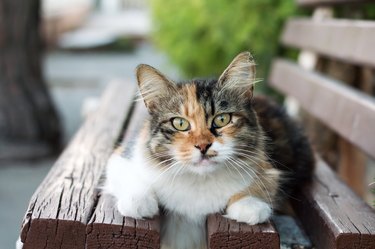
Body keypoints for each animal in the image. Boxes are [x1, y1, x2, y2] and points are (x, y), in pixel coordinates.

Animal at [104, 51, 316, 248]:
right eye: (180, 123)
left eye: (222, 119)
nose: (203, 146)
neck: (199, 180)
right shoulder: (121, 155)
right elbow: (129, 177)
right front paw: (139, 202)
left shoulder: (268, 166)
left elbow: (263, 184)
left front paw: (249, 205)